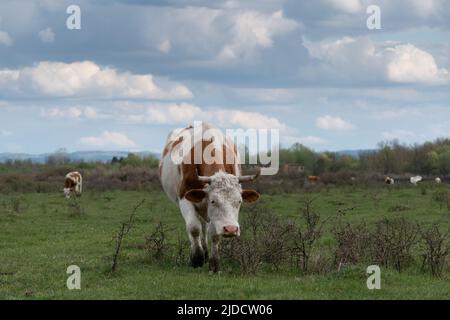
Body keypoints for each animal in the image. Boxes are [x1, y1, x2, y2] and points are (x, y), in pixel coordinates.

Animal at [159, 122, 260, 272]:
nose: (231, 229)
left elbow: (214, 233)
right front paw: (197, 258)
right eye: (213, 201)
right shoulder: (185, 198)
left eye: (239, 201)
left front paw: (214, 263)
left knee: (205, 227)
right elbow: (193, 228)